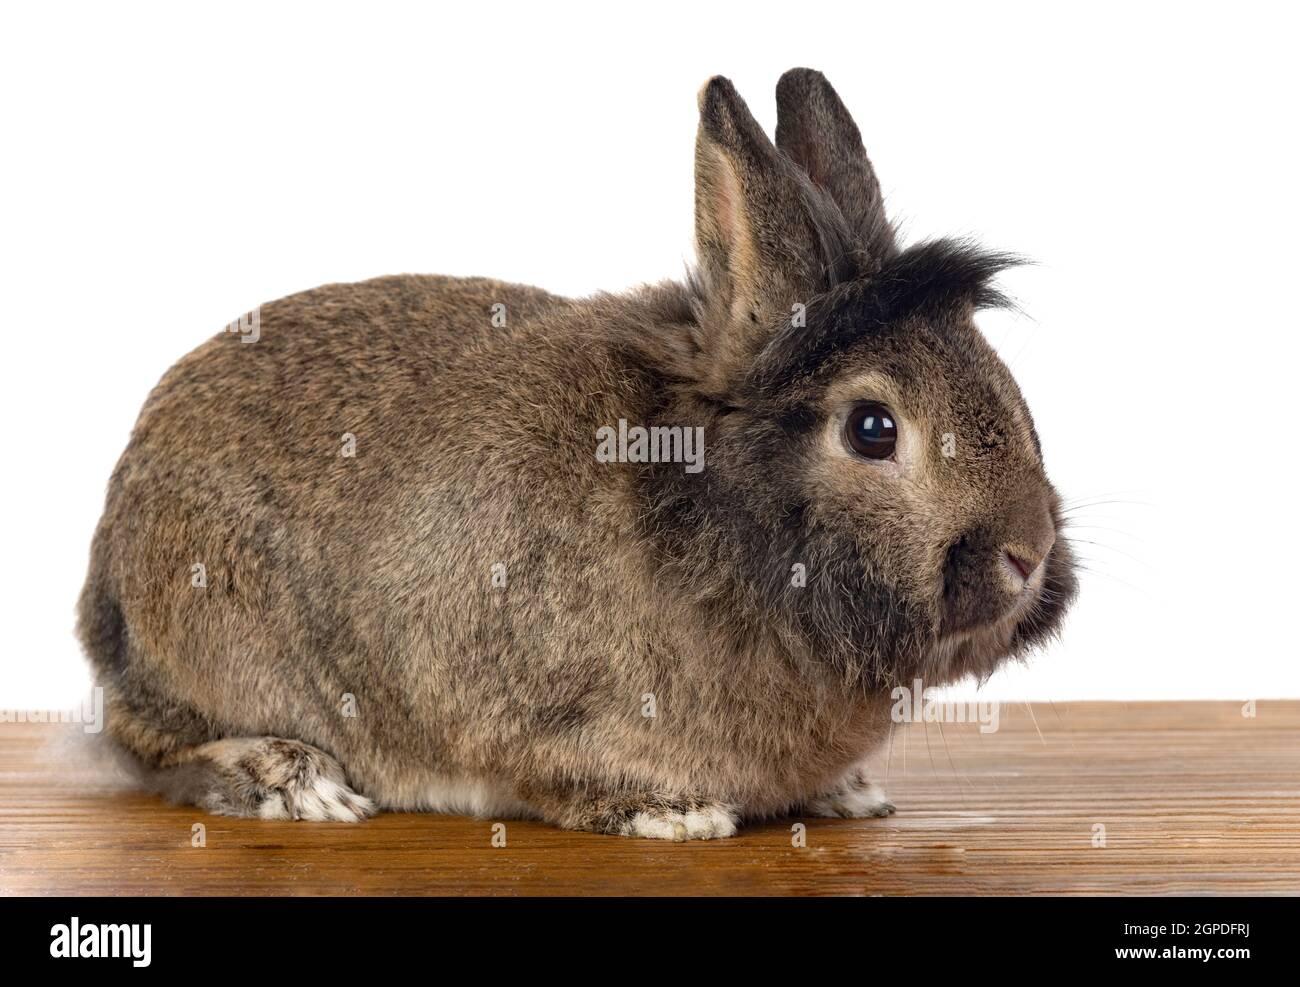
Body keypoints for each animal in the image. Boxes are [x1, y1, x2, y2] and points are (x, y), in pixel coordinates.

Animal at [76, 68, 1077, 839]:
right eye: (873, 428)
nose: (1028, 554)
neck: (702, 507)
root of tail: (109, 562)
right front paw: (673, 814)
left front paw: (847, 794)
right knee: (147, 743)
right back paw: (295, 781)